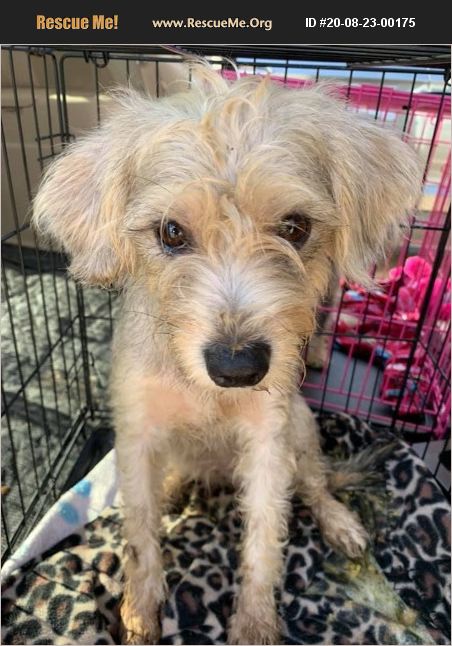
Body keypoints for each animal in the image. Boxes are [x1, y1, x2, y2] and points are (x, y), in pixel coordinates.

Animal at [33, 68, 422, 644]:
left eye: (295, 227)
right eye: (171, 232)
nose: (238, 368)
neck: (203, 393)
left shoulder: (268, 444)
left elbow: (265, 540)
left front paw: (255, 623)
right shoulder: (137, 434)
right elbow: (140, 537)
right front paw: (139, 611)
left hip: (301, 430)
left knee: (316, 483)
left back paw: (339, 520)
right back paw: (173, 488)